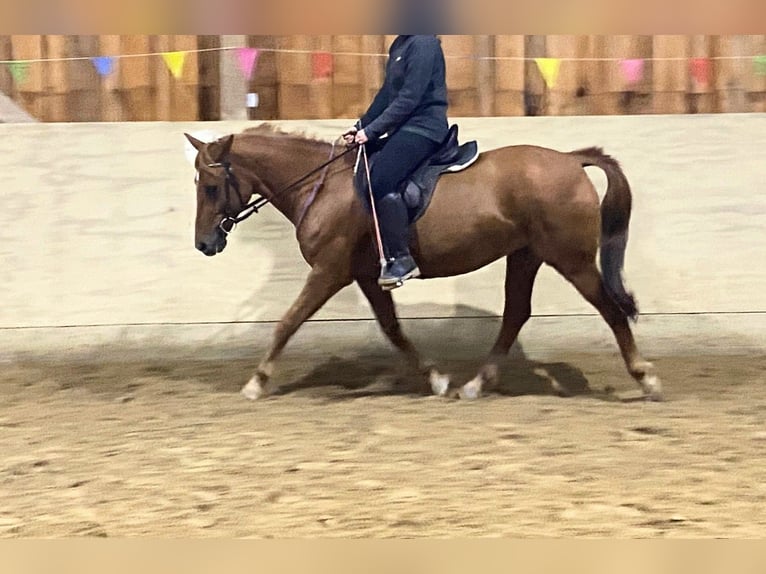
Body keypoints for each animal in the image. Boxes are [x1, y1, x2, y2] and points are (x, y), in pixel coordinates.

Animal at [183, 125, 664, 404]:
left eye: (211, 186)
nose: (205, 243)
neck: (322, 186)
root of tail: (570, 159)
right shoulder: (367, 275)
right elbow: (393, 329)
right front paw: (436, 379)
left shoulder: (330, 271)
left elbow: (288, 321)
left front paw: (256, 382)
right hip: (526, 255)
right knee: (515, 314)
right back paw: (474, 385)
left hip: (571, 258)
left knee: (610, 309)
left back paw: (646, 379)